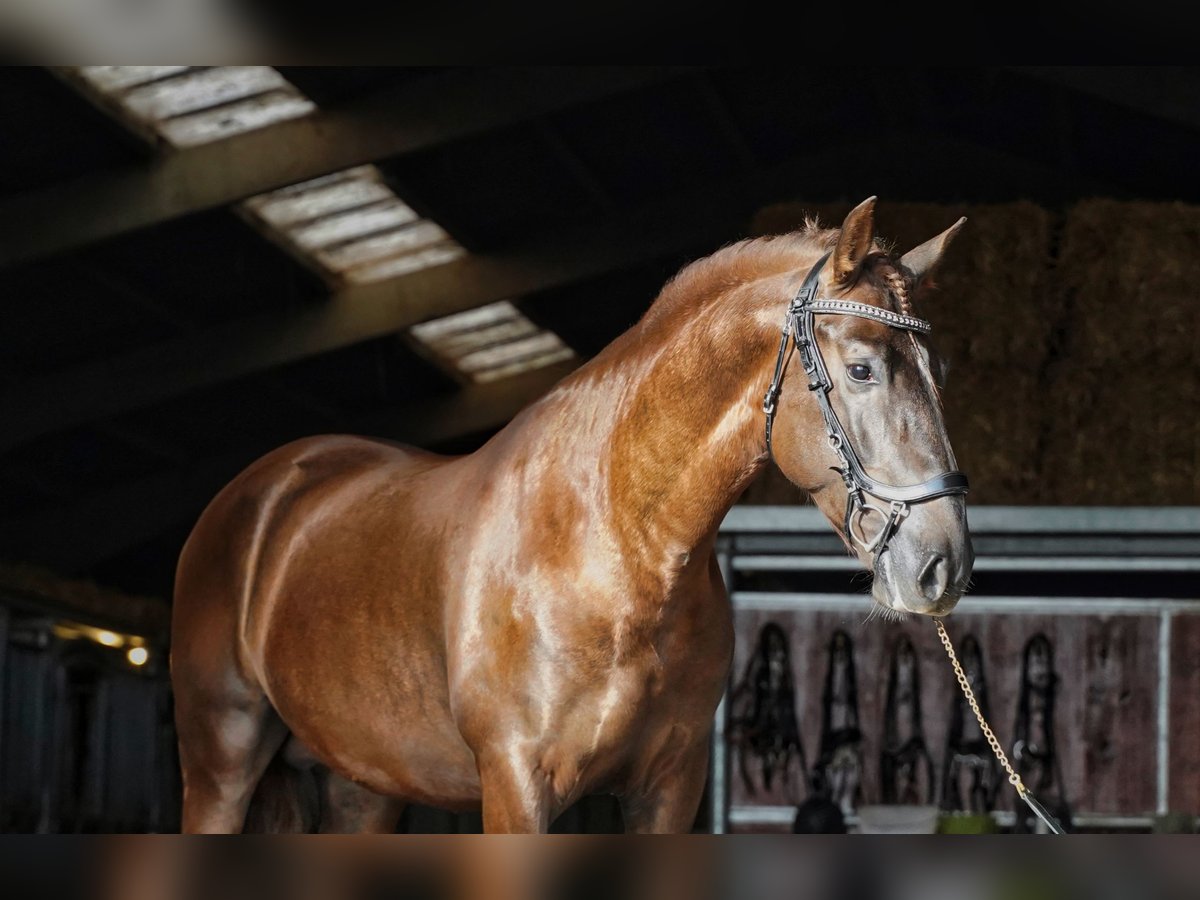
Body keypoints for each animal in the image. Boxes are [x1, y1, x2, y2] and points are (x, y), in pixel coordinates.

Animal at [169, 200, 974, 835]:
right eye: (863, 368)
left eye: (941, 373)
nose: (944, 565)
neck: (614, 553)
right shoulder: (516, 784)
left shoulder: (669, 789)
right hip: (221, 765)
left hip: (361, 785)